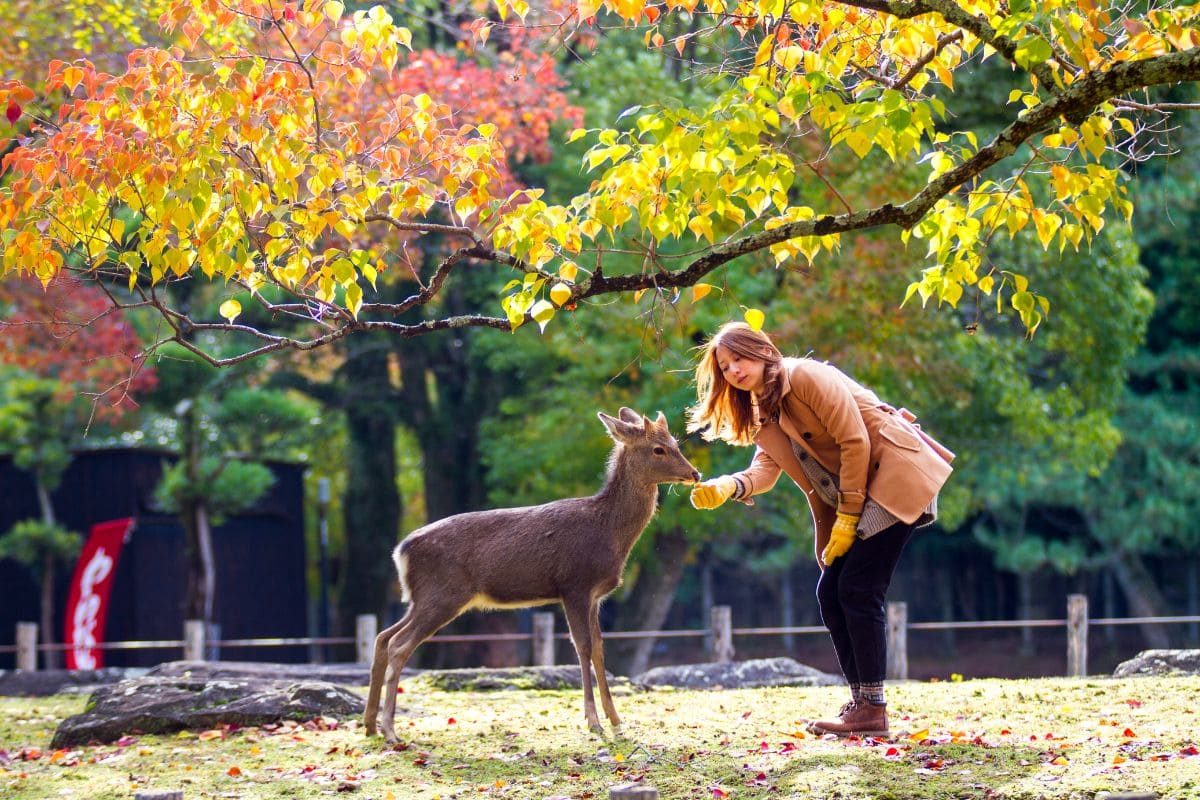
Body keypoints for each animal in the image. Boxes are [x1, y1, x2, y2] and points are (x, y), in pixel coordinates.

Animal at [364, 410, 700, 743]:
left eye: (676, 443)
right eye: (658, 449)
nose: (695, 474)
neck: (609, 532)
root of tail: (401, 551)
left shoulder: (595, 596)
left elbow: (600, 649)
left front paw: (617, 721)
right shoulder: (574, 585)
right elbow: (583, 648)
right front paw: (593, 722)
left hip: (422, 598)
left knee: (383, 637)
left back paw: (370, 725)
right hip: (443, 594)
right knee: (399, 645)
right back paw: (390, 730)